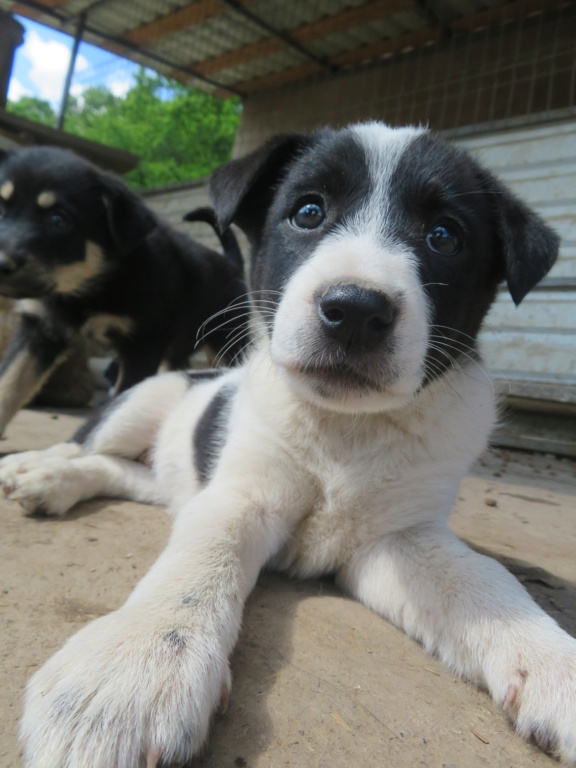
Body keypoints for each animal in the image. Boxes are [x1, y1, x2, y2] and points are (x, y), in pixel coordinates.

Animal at [0, 144, 245, 432]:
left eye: (58, 220)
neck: (91, 290)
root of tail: (232, 264)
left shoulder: (142, 344)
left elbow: (119, 402)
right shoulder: (39, 330)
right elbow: (9, 384)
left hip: (227, 341)